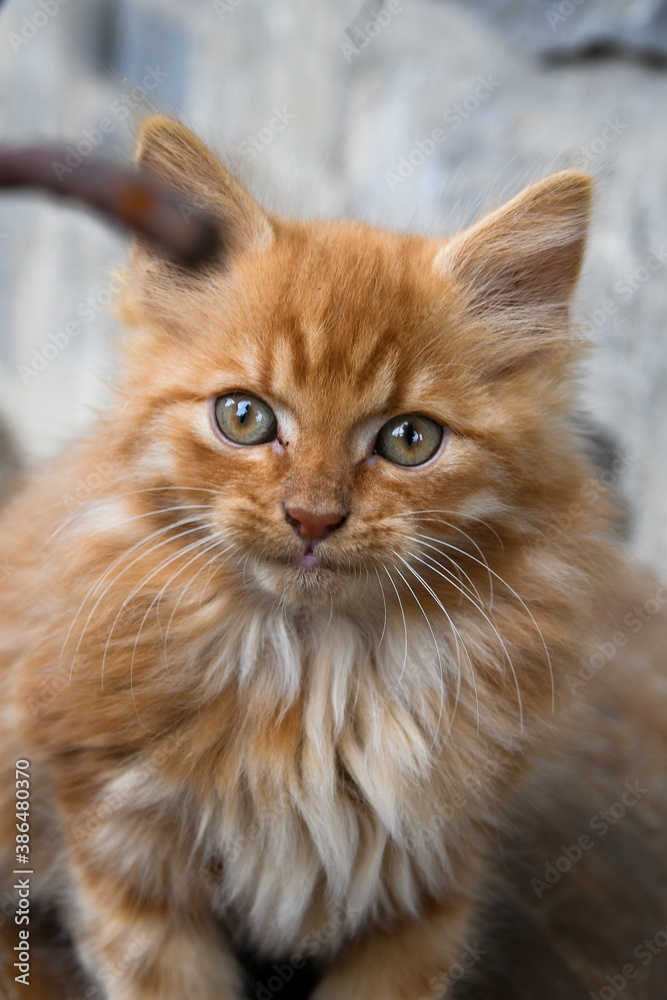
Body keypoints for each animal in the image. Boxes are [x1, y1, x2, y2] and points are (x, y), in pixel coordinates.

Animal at [0, 119, 616, 1000]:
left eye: (410, 439)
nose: (313, 516)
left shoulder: (427, 877)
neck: (321, 674)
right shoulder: (126, 857)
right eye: (244, 418)